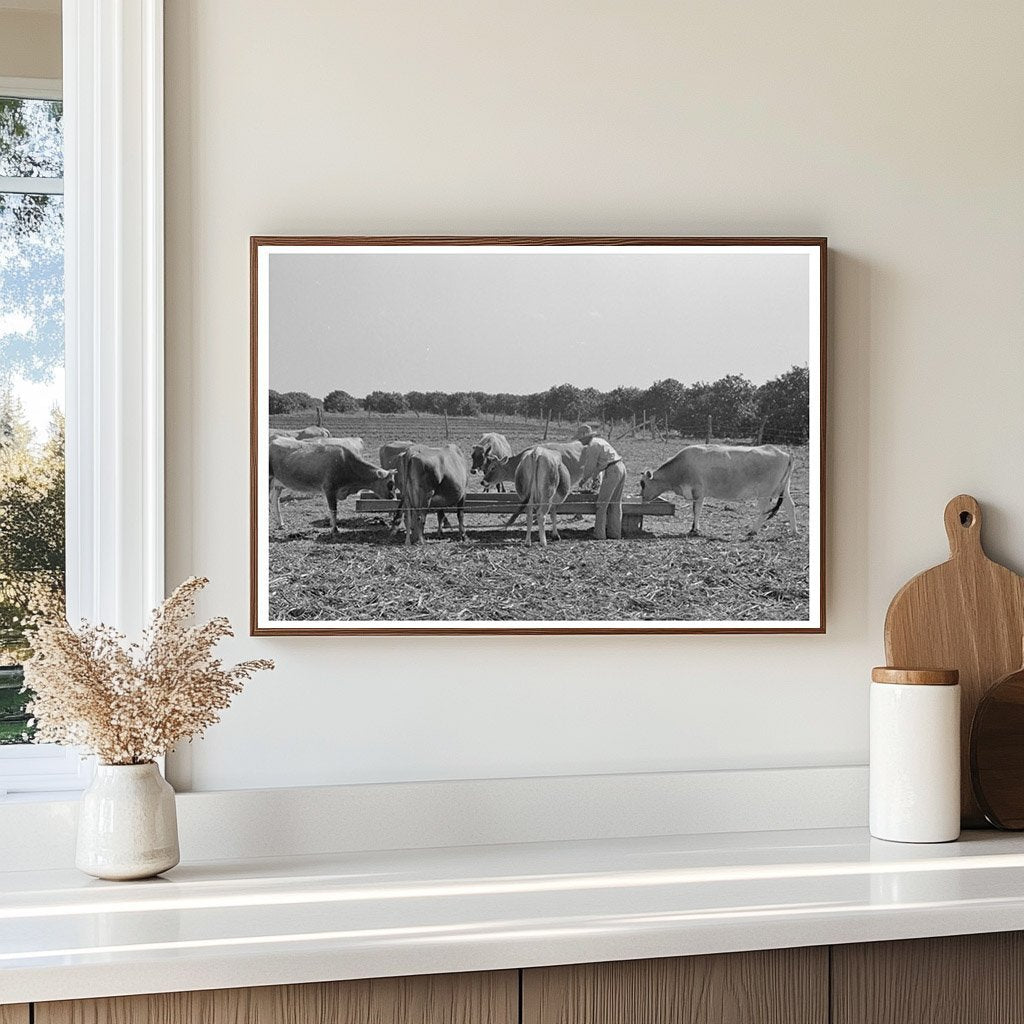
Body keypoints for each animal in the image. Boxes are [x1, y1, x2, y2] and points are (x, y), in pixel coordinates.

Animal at [638, 444, 798, 540]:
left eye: (643, 483)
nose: (643, 499)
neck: (681, 468)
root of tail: (784, 453)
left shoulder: (698, 491)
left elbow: (696, 510)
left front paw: (694, 530)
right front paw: (693, 528)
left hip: (765, 492)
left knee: (764, 511)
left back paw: (752, 531)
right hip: (784, 488)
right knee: (791, 506)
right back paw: (794, 531)